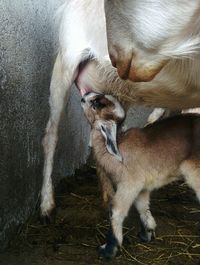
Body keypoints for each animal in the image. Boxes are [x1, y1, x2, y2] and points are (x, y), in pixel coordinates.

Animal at [81, 91, 200, 258]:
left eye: (96, 104)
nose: (84, 95)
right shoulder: (142, 187)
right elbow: (142, 207)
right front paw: (147, 233)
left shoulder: (130, 184)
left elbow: (116, 211)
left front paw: (108, 250)